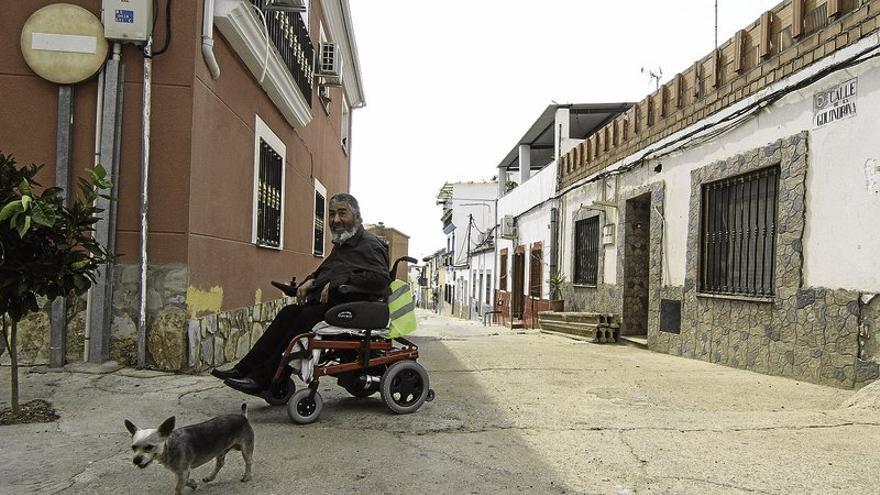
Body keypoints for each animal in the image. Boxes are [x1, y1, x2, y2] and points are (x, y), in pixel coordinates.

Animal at [124, 404, 254, 494]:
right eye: (133, 447)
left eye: (149, 447)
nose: (136, 460)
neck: (169, 447)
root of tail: (242, 417)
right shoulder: (182, 472)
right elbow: (186, 481)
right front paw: (193, 484)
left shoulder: (182, 471)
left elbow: (178, 488)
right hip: (221, 450)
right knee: (220, 463)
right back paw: (210, 477)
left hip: (246, 448)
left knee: (248, 461)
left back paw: (247, 476)